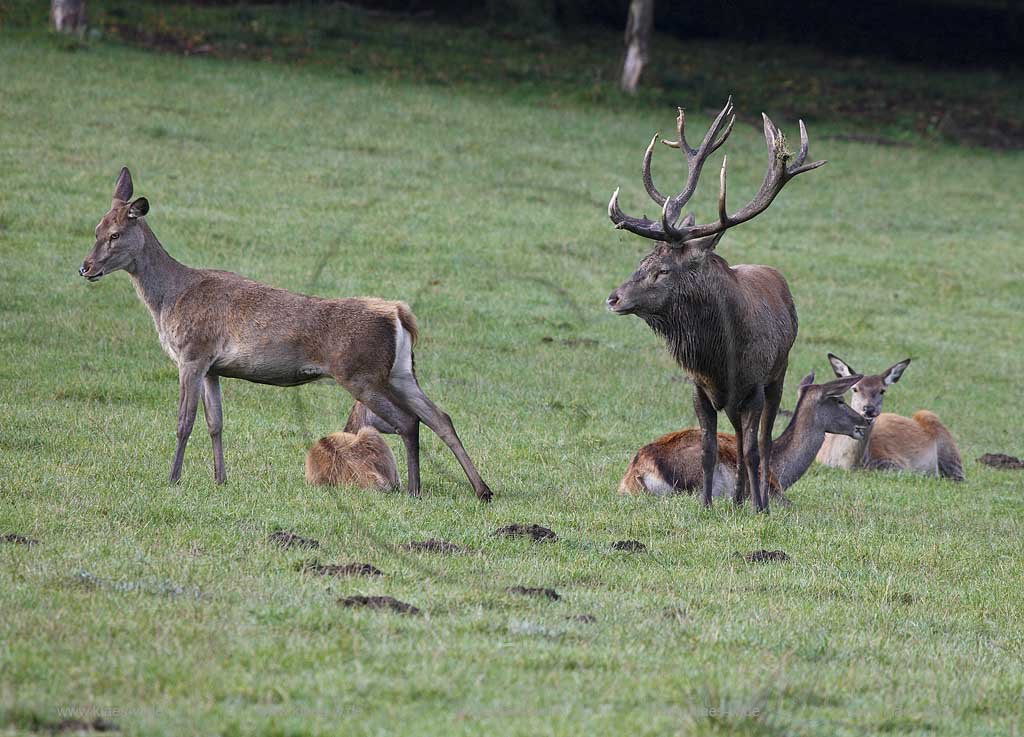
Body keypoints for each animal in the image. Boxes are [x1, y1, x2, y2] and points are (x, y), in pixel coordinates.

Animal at [80, 166, 495, 501]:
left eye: (115, 234)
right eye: (96, 229)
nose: (85, 267)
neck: (168, 299)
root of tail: (398, 313)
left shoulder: (192, 353)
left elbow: (185, 421)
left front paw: (173, 479)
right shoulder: (213, 367)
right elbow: (216, 423)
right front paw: (220, 479)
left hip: (361, 373)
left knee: (409, 421)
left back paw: (415, 489)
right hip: (401, 372)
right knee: (441, 416)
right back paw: (482, 489)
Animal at [602, 96, 827, 511]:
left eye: (663, 270)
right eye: (642, 260)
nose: (614, 298)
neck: (722, 359)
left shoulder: (754, 387)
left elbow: (754, 450)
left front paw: (761, 508)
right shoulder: (700, 389)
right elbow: (710, 449)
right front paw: (707, 505)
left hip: (779, 374)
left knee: (761, 442)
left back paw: (753, 500)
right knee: (736, 437)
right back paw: (736, 499)